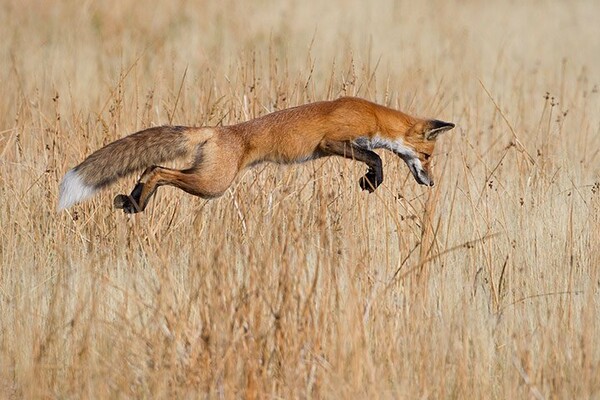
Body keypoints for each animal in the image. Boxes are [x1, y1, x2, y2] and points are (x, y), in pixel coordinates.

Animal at [59, 97, 454, 214]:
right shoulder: (332, 142)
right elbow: (377, 159)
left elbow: (376, 157)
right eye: (427, 156)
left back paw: (133, 202)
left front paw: (371, 183)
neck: (372, 115)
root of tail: (217, 130)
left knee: (151, 168)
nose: (432, 183)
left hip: (205, 177)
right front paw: (371, 182)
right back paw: (137, 202)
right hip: (213, 184)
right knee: (157, 169)